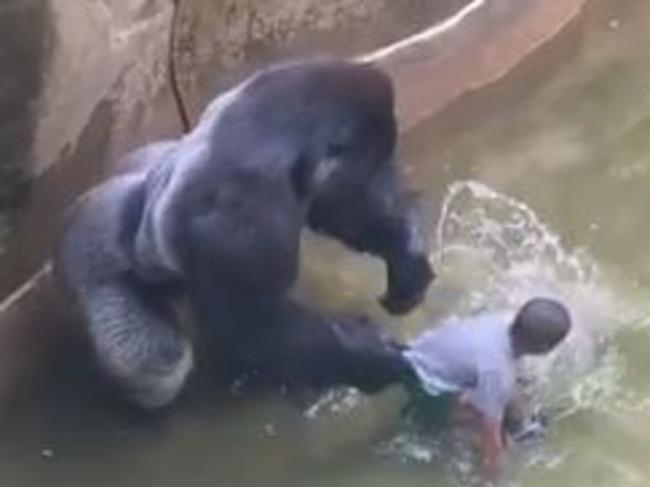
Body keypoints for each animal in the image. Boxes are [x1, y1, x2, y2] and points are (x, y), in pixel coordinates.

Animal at [54, 58, 430, 412]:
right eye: (373, 164)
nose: (385, 180)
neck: (272, 132)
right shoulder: (242, 227)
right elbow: (254, 327)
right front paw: (373, 358)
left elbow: (349, 217)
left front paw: (407, 255)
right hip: (84, 260)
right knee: (156, 365)